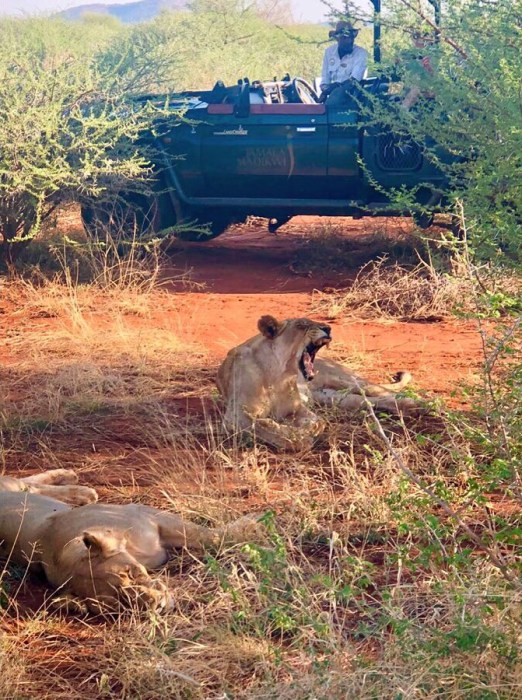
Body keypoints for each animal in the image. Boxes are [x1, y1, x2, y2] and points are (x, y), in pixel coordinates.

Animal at [0, 473, 264, 615]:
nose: (157, 605)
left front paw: (252, 526)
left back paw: (80, 487)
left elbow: (208, 535)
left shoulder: (147, 514)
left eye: (129, 573)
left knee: (25, 481)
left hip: (15, 488)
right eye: (117, 603)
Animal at [217, 315, 418, 451]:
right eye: (302, 325)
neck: (278, 373)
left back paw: (418, 403)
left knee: (386, 392)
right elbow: (260, 426)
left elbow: (316, 422)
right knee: (371, 401)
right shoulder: (237, 415)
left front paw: (306, 430)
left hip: (346, 380)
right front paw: (293, 434)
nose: (328, 328)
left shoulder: (297, 407)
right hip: (333, 398)